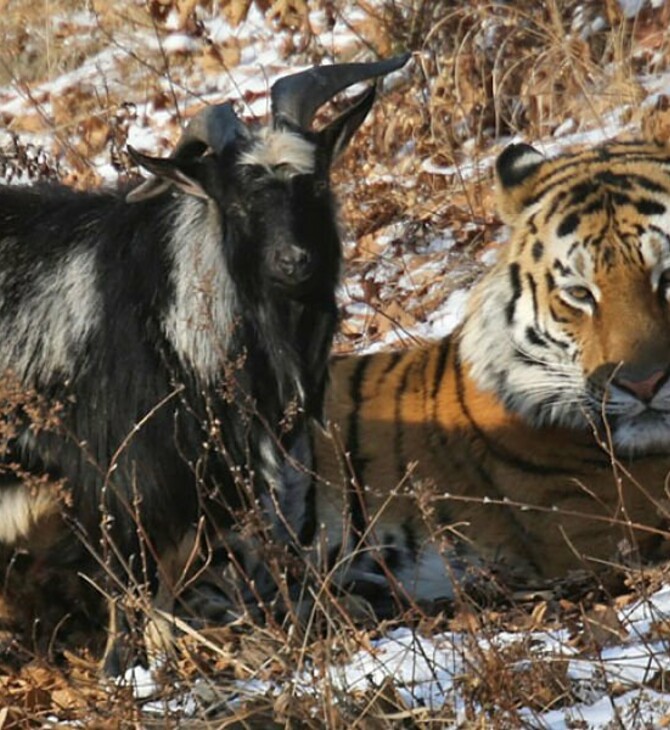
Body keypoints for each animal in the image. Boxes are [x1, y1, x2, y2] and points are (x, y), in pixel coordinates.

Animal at [0, 54, 410, 668]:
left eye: (315, 184)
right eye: (238, 202)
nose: (295, 261)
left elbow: (164, 592)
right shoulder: (120, 479)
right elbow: (130, 591)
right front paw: (127, 672)